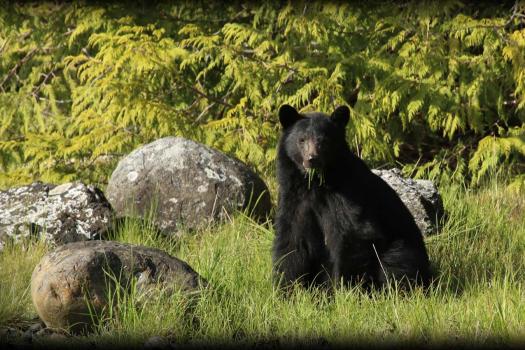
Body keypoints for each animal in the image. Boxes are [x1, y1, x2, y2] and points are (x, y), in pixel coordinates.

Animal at [272, 104, 428, 290]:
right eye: (302, 140)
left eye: (324, 140)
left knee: (395, 264)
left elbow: (352, 233)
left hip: (401, 247)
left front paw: (344, 289)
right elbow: (292, 239)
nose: (312, 159)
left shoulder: (348, 193)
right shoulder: (294, 198)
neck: (315, 184)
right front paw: (286, 288)